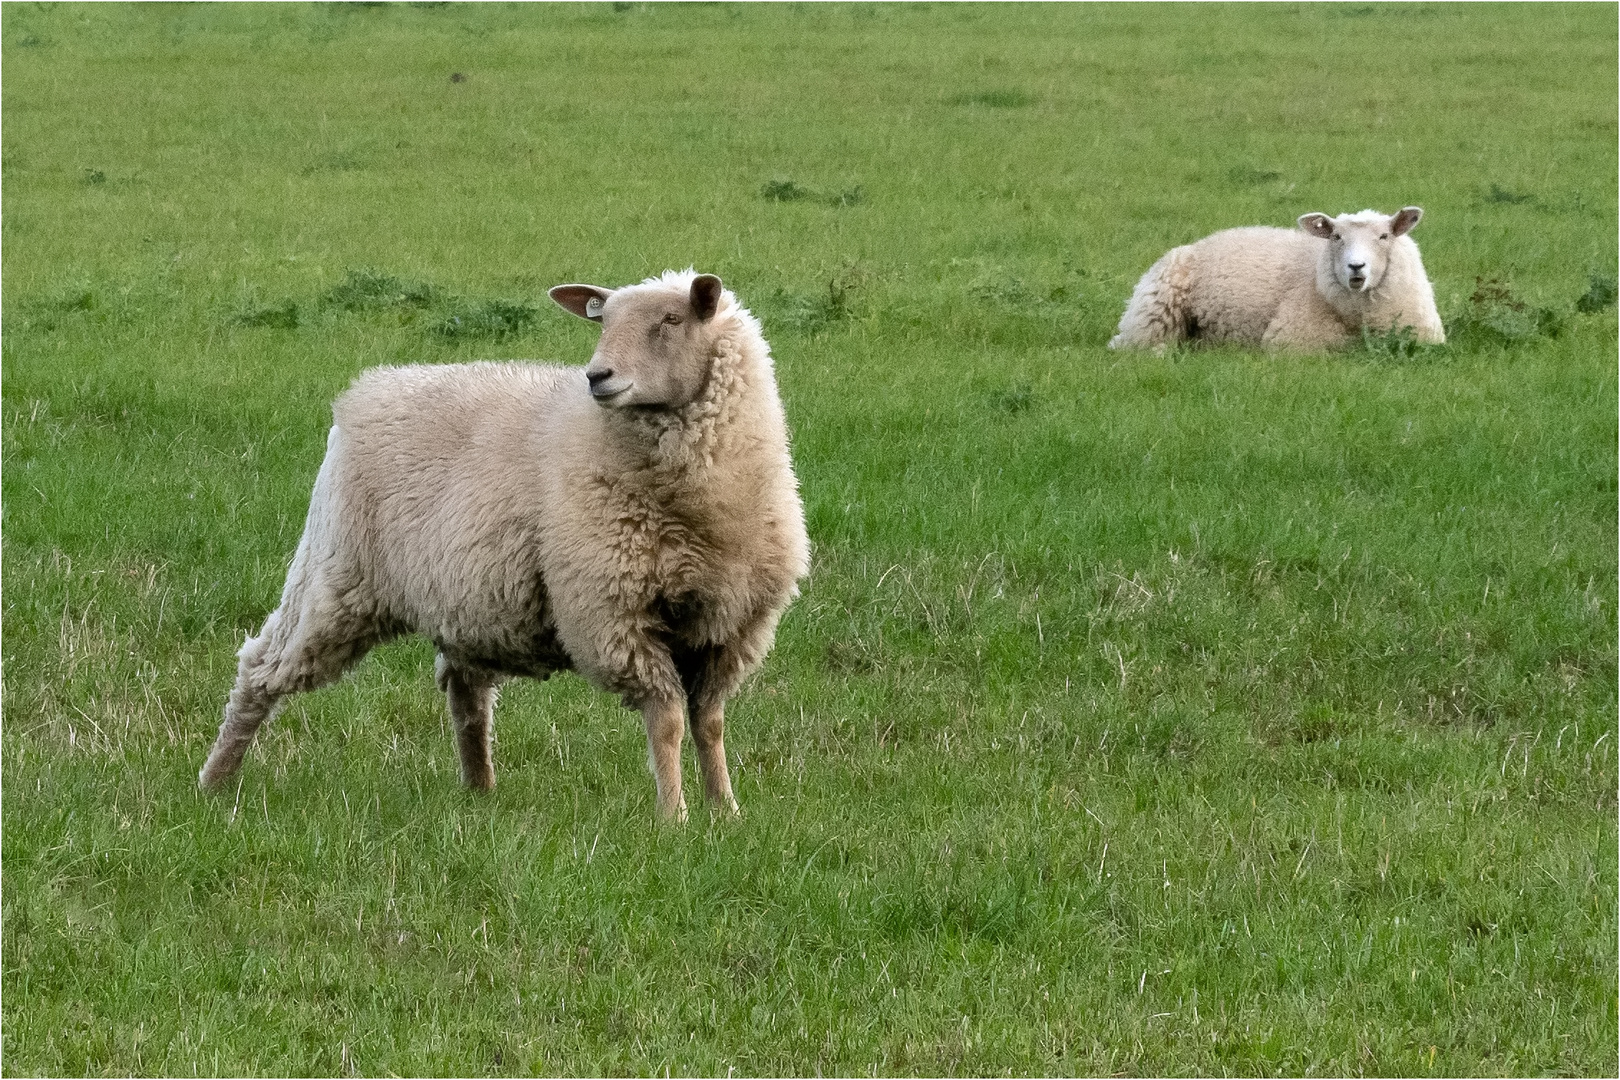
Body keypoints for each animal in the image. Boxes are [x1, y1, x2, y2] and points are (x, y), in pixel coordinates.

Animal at [199, 268, 810, 819]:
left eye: (671, 320)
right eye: (603, 320)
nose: (597, 376)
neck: (697, 511)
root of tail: (369, 389)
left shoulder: (735, 623)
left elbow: (709, 721)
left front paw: (725, 809)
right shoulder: (615, 613)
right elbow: (668, 722)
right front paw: (675, 818)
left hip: (463, 603)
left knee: (466, 694)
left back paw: (480, 792)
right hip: (335, 578)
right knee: (260, 668)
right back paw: (215, 779)